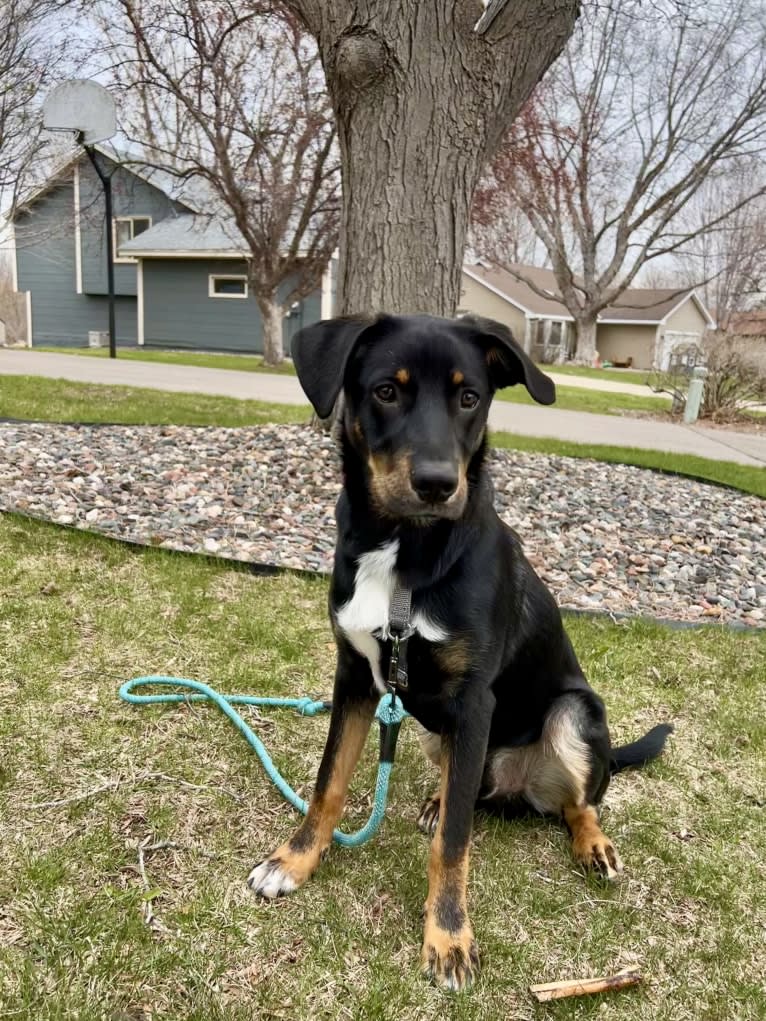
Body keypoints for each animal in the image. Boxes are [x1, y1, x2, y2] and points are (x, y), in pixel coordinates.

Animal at [249, 312, 674, 988]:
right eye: (386, 391)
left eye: (469, 397)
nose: (437, 484)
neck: (403, 553)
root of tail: (515, 786)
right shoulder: (356, 677)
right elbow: (328, 783)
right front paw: (293, 860)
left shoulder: (474, 701)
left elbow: (453, 842)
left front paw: (448, 937)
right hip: (433, 728)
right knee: (465, 790)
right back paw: (437, 798)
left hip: (574, 714)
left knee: (576, 803)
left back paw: (592, 843)